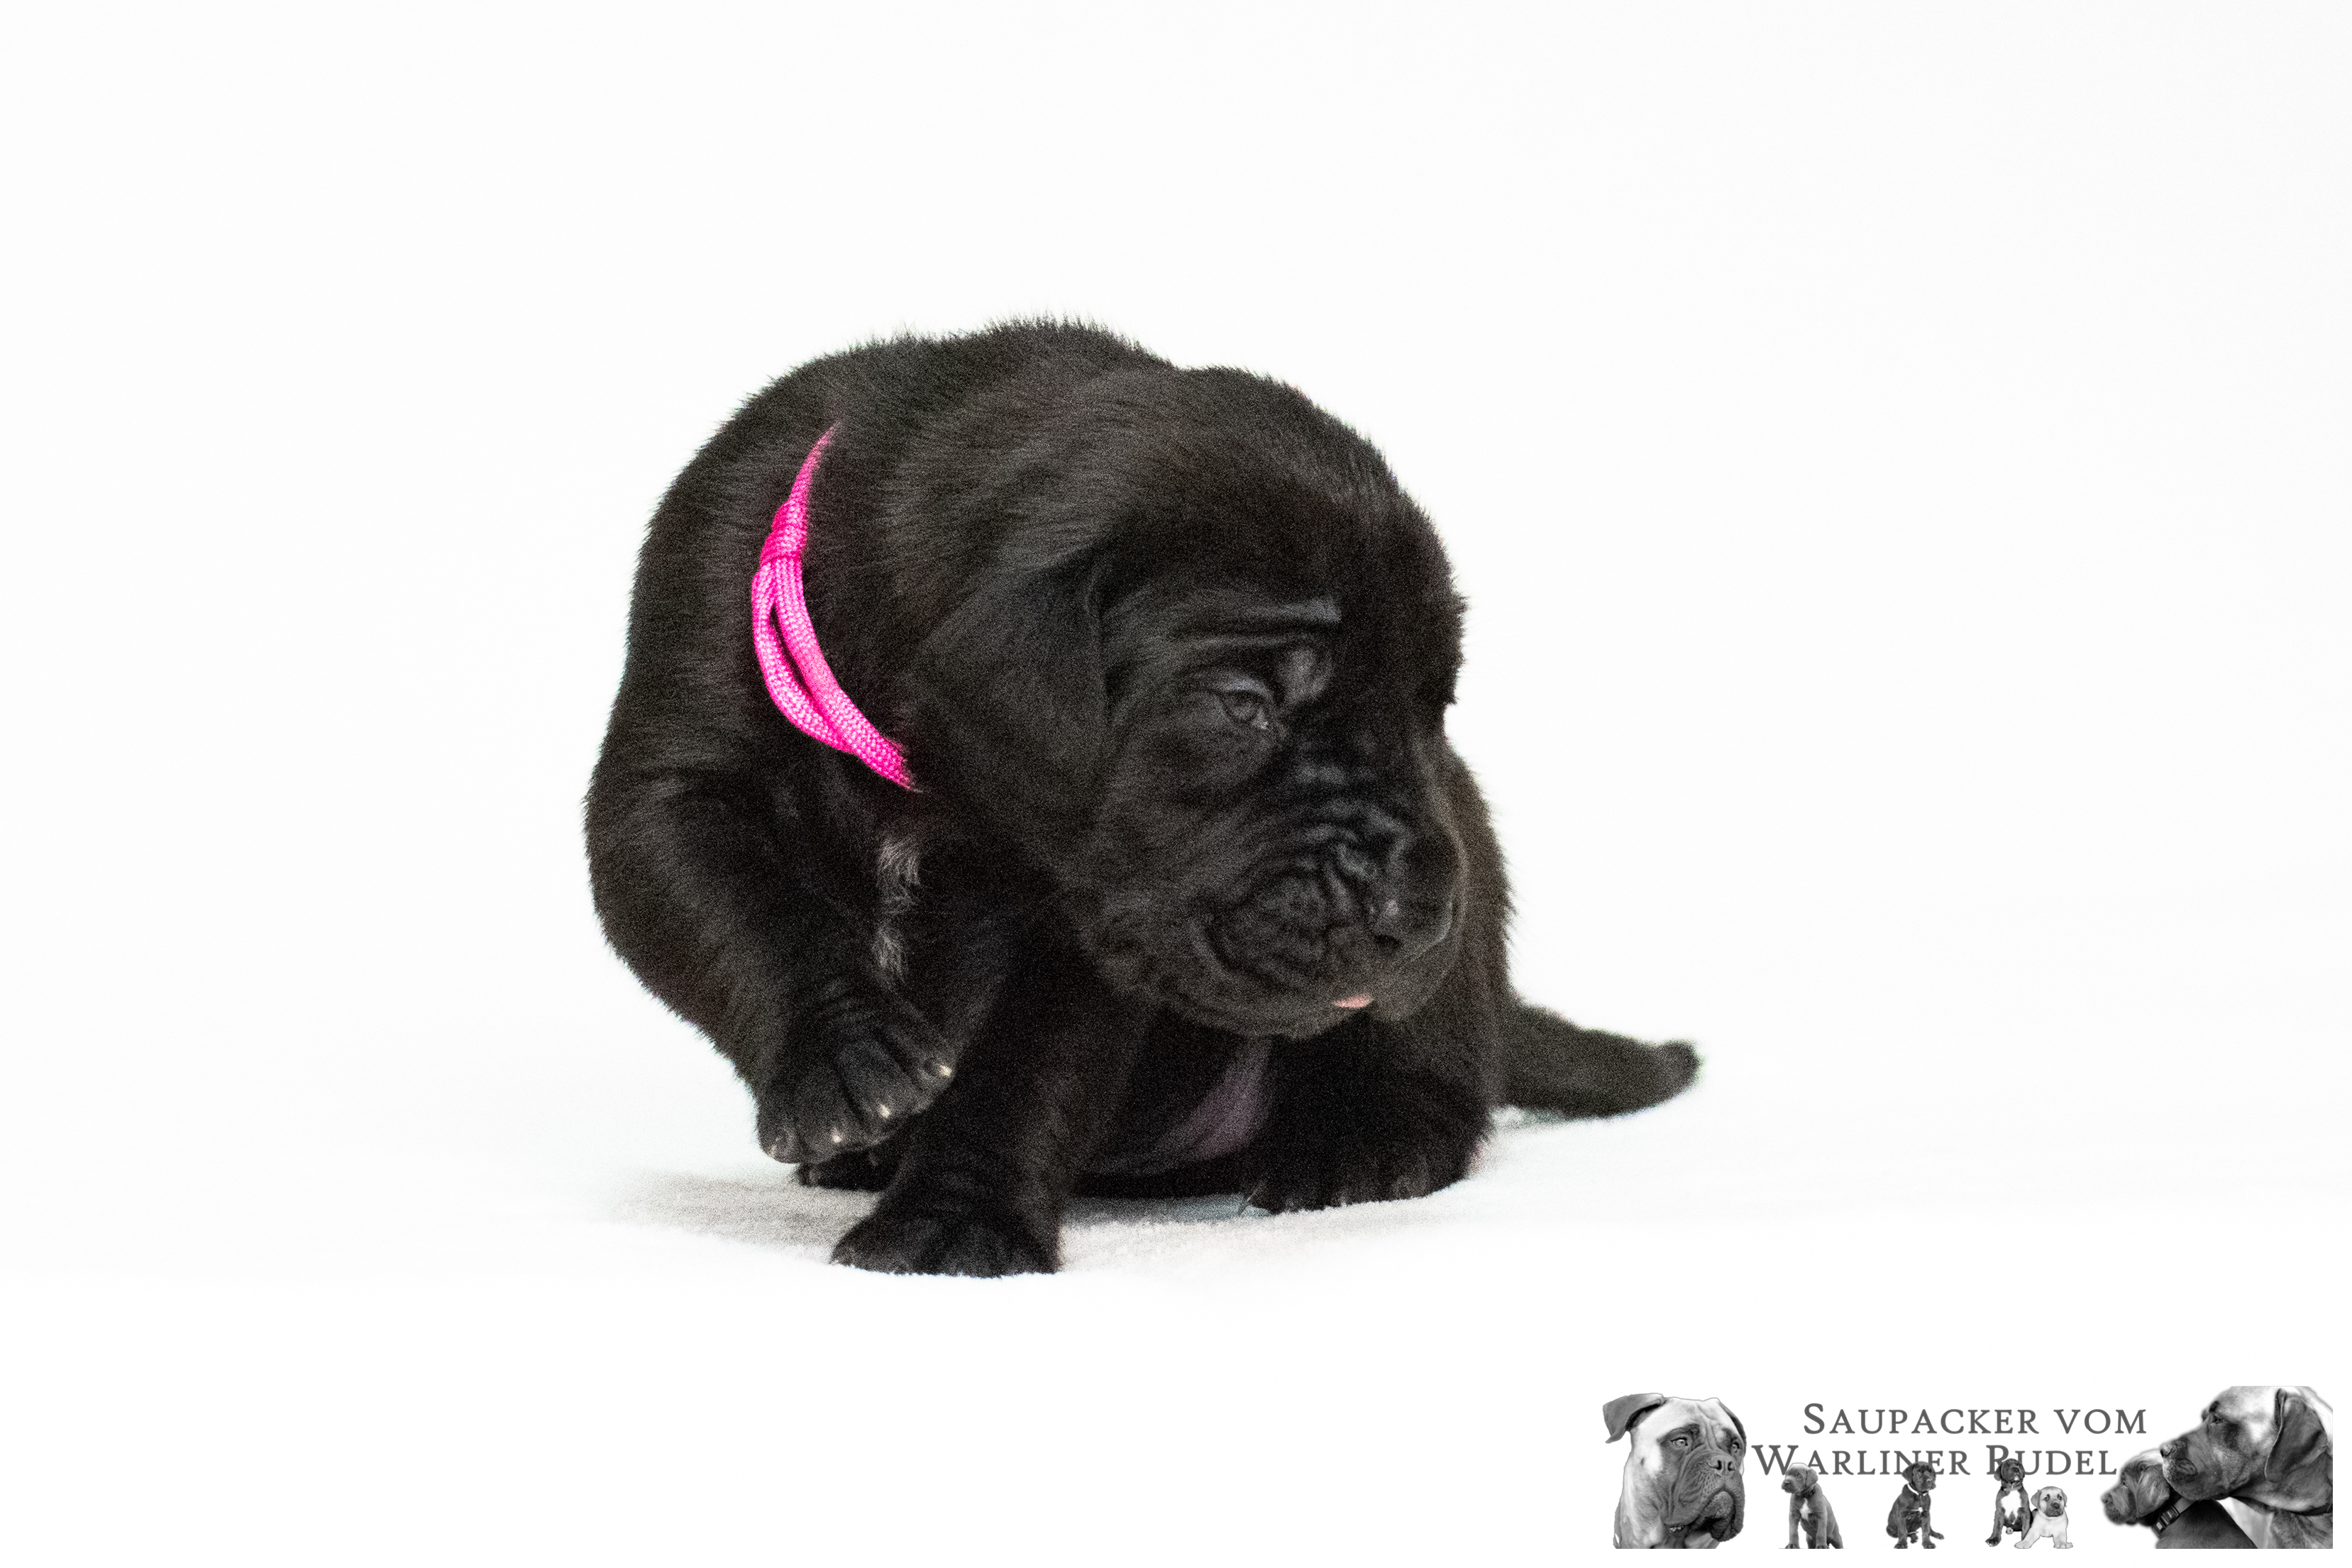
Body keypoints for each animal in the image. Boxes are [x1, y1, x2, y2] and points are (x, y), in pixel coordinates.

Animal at [586, 323, 1701, 1275]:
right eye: (1245, 705)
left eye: (1432, 707)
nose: (1416, 916)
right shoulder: (674, 763)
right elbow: (736, 913)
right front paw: (848, 1060)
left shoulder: (1085, 920)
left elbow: (1024, 1073)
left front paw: (955, 1223)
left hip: (1451, 913)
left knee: (1440, 1080)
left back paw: (1363, 1142)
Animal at [1988, 1454, 2030, 1545]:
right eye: (2007, 1466)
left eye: (2019, 1465)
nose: (2016, 1469)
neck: (2012, 1489)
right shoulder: (1999, 1512)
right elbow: (1997, 1526)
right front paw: (1993, 1539)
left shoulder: (2025, 1512)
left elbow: (2026, 1527)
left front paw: (2025, 1540)